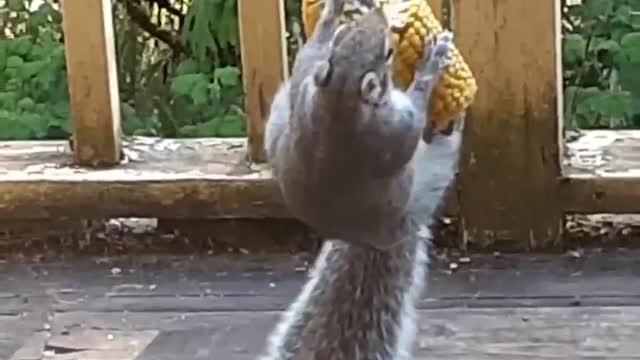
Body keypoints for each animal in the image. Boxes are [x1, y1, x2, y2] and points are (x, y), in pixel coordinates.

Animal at [258, 0, 462, 356]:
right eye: (388, 52)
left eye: (343, 37)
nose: (380, 15)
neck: (338, 105)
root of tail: (361, 236)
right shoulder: (393, 129)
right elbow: (413, 119)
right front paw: (431, 64)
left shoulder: (308, 89)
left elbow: (307, 59)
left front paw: (328, 16)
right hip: (421, 189)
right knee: (438, 161)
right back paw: (450, 129)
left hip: (280, 123)